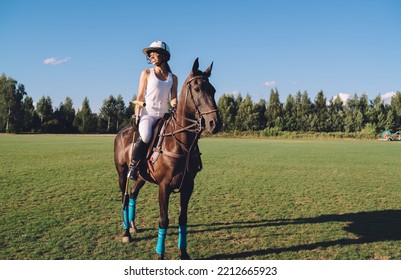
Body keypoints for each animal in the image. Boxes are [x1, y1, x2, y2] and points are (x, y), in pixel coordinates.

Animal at [113, 58, 222, 260]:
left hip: (142, 176)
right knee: (124, 197)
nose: (215, 123)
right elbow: (163, 220)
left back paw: (133, 226)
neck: (181, 142)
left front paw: (184, 253)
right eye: (197, 89)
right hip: (122, 173)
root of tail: (122, 131)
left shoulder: (188, 185)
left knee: (133, 193)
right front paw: (160, 255)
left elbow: (182, 218)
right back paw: (126, 233)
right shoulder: (164, 186)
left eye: (213, 90)